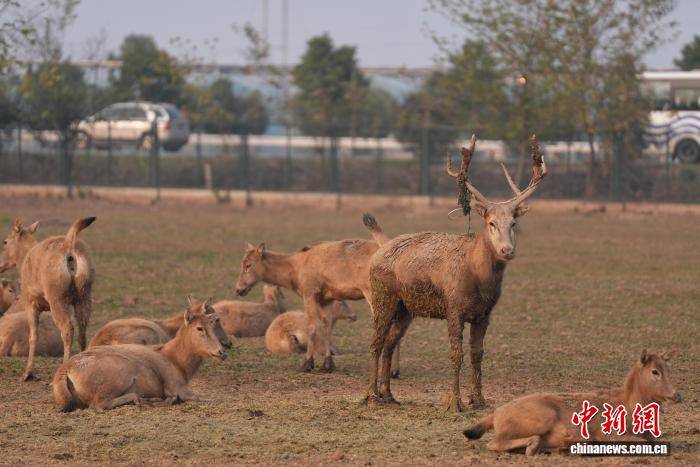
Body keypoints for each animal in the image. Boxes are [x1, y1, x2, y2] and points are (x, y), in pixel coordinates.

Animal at [1, 217, 96, 381]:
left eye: (5, 241)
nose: (0, 265)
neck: (25, 258)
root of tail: (69, 245)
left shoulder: (31, 304)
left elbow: (33, 336)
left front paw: (27, 373)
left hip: (58, 300)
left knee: (67, 330)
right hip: (84, 297)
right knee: (82, 332)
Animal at [52, 298, 228, 412]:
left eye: (212, 324)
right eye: (199, 328)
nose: (222, 352)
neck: (172, 357)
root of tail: (67, 368)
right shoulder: (179, 389)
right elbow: (204, 397)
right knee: (99, 406)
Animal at [234, 213, 402, 375]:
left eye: (248, 265)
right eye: (242, 262)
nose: (238, 289)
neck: (295, 268)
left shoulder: (309, 293)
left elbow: (312, 327)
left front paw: (307, 364)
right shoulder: (326, 299)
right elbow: (326, 327)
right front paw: (327, 365)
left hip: (373, 294)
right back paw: (394, 370)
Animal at [365, 135, 547, 412]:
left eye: (514, 223)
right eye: (491, 223)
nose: (506, 250)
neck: (480, 281)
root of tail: (379, 249)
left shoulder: (484, 314)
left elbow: (477, 354)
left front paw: (479, 400)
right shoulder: (453, 307)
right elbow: (456, 354)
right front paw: (455, 402)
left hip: (405, 308)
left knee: (389, 344)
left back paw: (388, 394)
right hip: (382, 297)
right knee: (376, 343)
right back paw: (371, 395)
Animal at [463, 350, 682, 455]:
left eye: (668, 369)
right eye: (655, 371)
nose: (677, 395)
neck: (628, 404)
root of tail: (496, 413)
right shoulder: (609, 434)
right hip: (541, 418)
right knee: (494, 443)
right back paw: (536, 445)